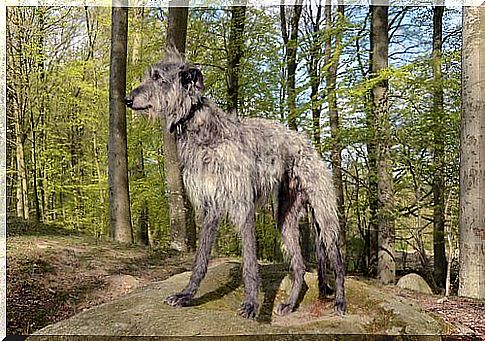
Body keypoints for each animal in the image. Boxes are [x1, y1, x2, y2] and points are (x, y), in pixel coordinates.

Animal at [125, 49, 344, 318]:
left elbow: (249, 262)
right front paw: (187, 295)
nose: (126, 99)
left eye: (157, 77)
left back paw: (340, 301)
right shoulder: (210, 206)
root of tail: (305, 141)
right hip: (285, 217)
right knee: (300, 267)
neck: (203, 131)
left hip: (323, 215)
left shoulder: (243, 205)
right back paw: (290, 304)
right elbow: (200, 259)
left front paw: (251, 303)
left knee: (337, 260)